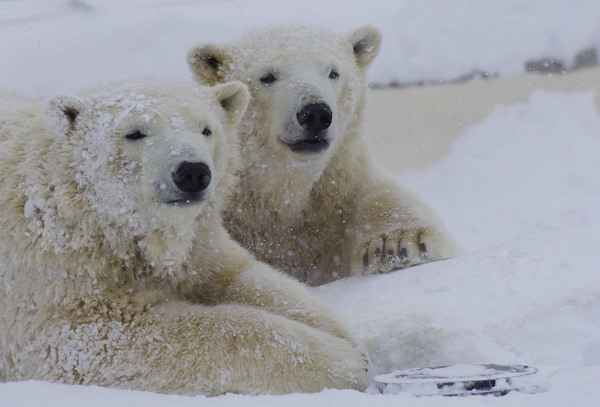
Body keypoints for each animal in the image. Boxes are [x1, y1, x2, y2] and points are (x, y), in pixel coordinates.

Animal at [0, 79, 370, 396]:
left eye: (206, 129)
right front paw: (346, 361)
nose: (192, 172)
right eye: (134, 133)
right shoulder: (54, 268)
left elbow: (242, 276)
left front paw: (347, 340)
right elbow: (95, 336)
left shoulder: (198, 244)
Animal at [188, 25, 454, 286]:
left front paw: (399, 242)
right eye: (267, 77)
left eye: (333, 73)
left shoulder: (344, 189)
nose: (315, 113)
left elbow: (386, 198)